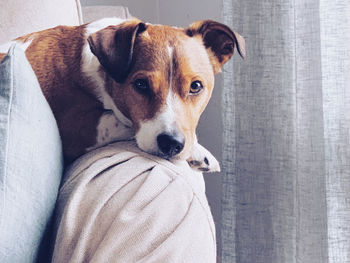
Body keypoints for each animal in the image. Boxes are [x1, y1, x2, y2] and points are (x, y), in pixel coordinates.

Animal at [0, 17, 246, 172]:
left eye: (195, 86)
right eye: (141, 84)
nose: (172, 144)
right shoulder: (75, 127)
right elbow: (121, 123)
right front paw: (197, 150)